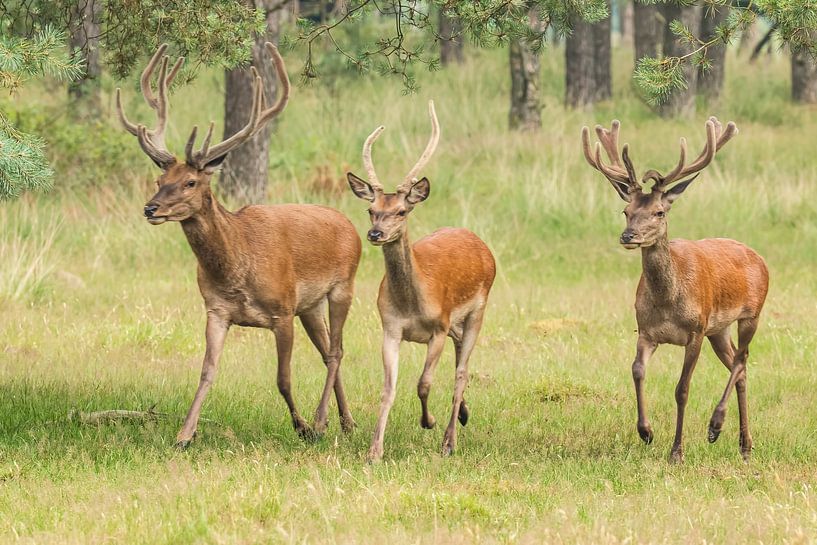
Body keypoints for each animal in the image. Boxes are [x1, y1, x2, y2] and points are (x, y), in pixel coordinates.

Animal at [116, 43, 361, 448]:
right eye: (159, 180)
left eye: (190, 182)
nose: (151, 208)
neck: (236, 269)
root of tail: (351, 225)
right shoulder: (216, 310)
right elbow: (206, 372)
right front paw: (184, 434)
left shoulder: (282, 310)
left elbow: (283, 379)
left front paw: (301, 426)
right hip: (310, 306)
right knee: (330, 352)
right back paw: (347, 422)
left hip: (343, 287)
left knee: (338, 351)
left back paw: (321, 421)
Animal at [346, 101, 496, 462]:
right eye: (371, 209)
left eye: (401, 211)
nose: (375, 233)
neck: (411, 304)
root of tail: (483, 246)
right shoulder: (390, 328)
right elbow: (388, 389)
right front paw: (374, 451)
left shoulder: (437, 328)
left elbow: (424, 383)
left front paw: (428, 422)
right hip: (456, 322)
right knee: (459, 359)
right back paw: (464, 415)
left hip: (477, 310)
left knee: (461, 372)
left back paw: (449, 440)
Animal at [581, 118, 769, 463]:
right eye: (626, 211)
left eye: (660, 212)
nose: (628, 236)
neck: (668, 302)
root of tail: (759, 258)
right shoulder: (646, 331)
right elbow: (637, 371)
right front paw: (646, 431)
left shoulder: (694, 331)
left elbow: (682, 389)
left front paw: (677, 451)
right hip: (718, 329)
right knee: (740, 366)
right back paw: (745, 444)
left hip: (750, 314)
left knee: (742, 360)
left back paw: (715, 426)